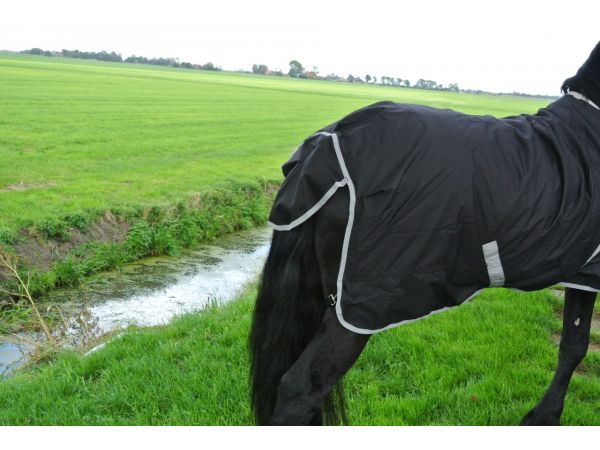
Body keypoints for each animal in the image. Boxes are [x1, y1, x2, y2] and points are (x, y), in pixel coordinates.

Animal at [247, 41, 600, 426]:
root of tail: (322, 149)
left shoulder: (583, 274)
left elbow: (573, 343)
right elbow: (576, 346)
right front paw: (543, 416)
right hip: (356, 309)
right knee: (302, 388)